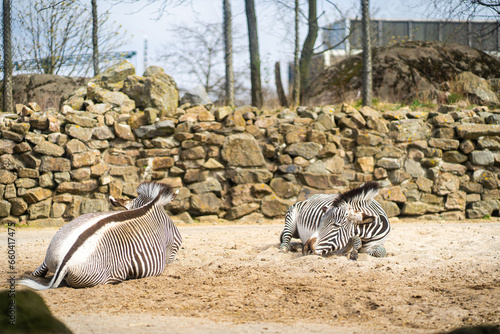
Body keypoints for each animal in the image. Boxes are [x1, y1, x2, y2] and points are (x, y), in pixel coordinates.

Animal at [21, 183, 184, 290]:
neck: (149, 205)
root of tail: (64, 262)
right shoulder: (172, 250)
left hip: (53, 246)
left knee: (39, 271)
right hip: (112, 275)